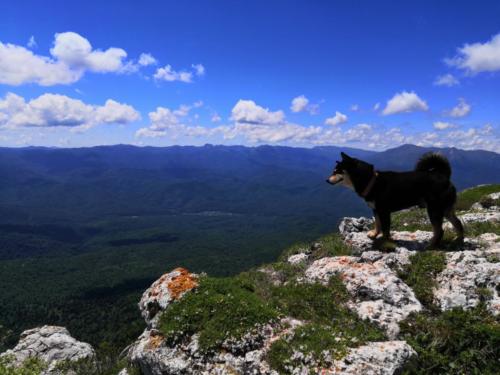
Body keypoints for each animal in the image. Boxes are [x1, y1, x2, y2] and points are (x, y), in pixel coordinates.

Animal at [328, 151, 464, 248]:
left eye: (336, 171)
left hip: (434, 210)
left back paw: (431, 245)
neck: (371, 181)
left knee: (439, 230)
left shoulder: (384, 211)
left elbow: (385, 229)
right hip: (446, 209)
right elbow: (377, 224)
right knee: (458, 223)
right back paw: (458, 241)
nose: (326, 180)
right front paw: (374, 234)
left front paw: (384, 242)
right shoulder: (376, 210)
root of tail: (444, 176)